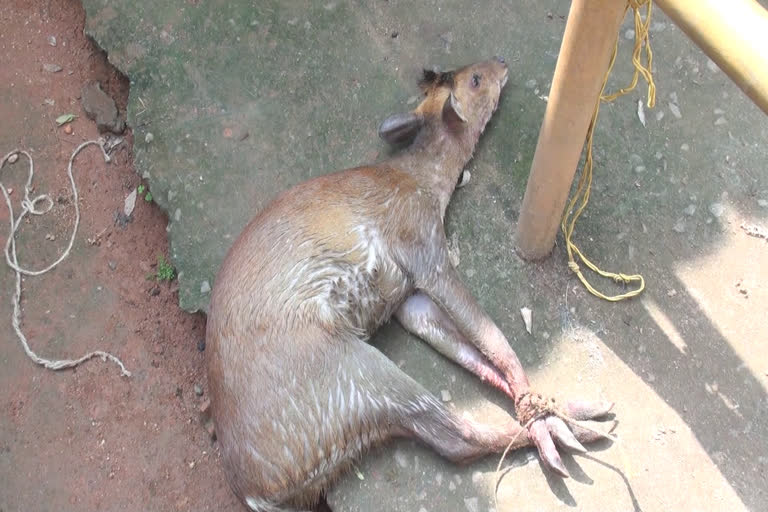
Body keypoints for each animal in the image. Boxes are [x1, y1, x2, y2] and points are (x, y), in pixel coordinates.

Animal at [207, 58, 616, 510]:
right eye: (475, 79)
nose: (503, 63)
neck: (425, 182)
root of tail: (257, 492)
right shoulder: (427, 251)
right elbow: (495, 339)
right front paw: (546, 418)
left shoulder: (408, 300)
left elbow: (467, 345)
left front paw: (539, 406)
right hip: (353, 367)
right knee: (458, 438)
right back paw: (579, 425)